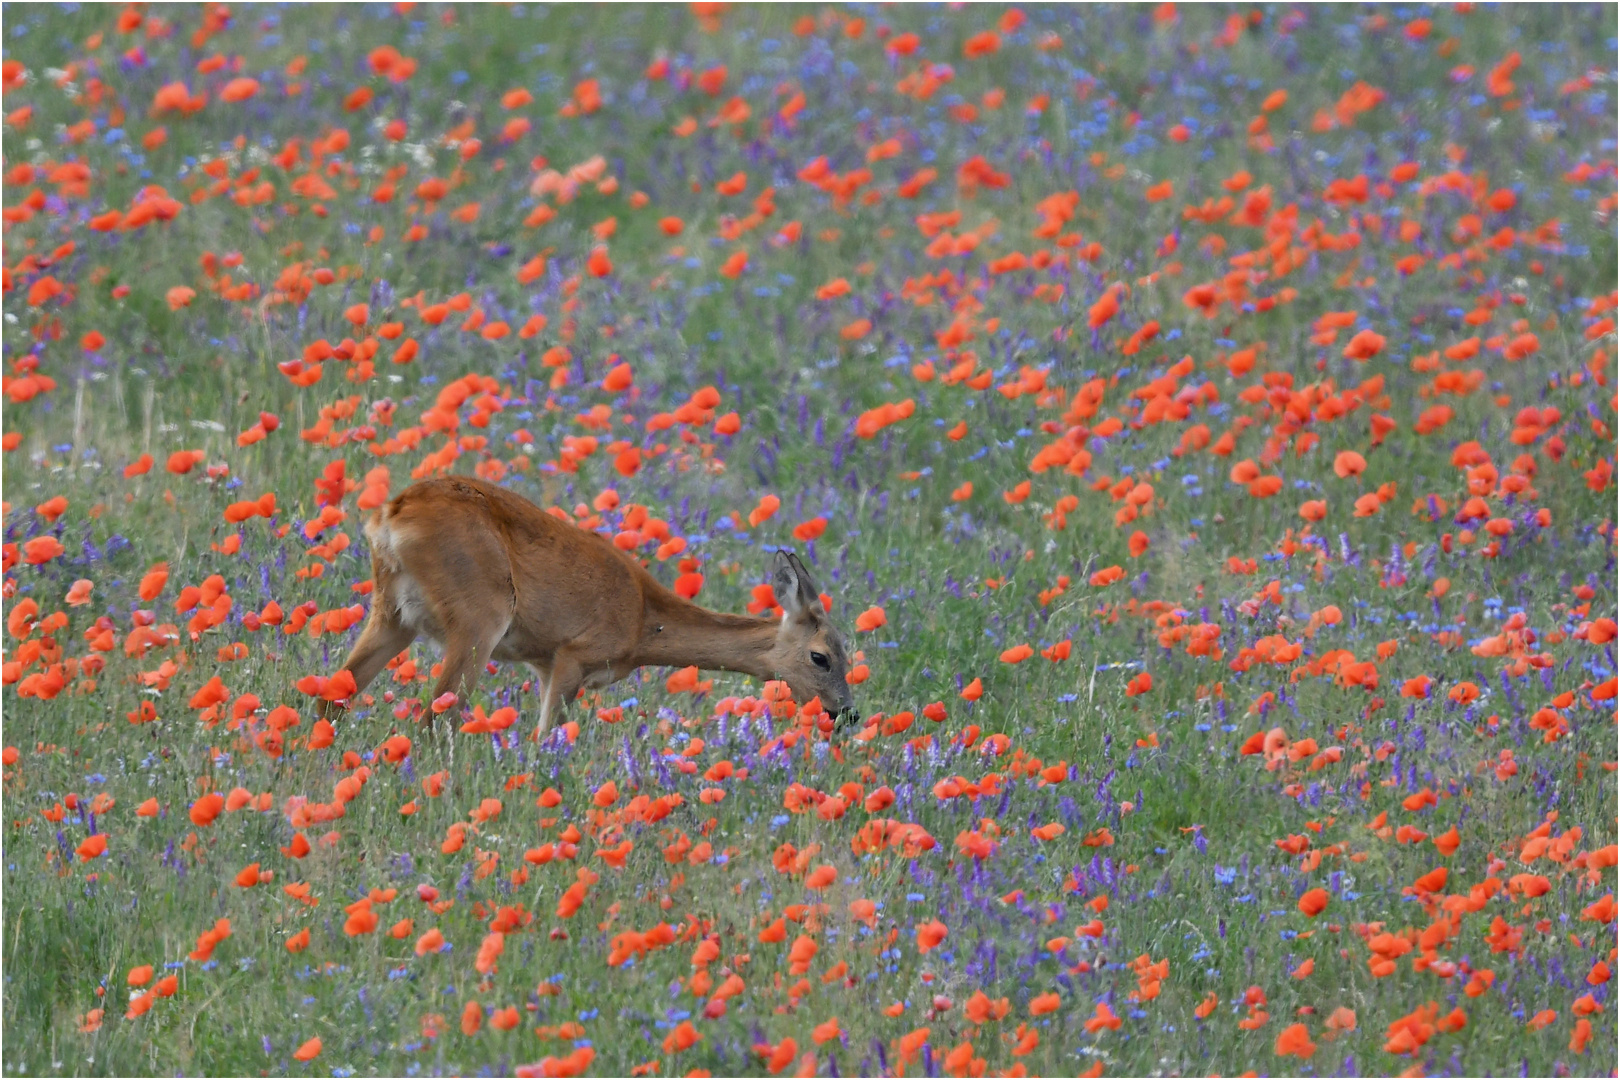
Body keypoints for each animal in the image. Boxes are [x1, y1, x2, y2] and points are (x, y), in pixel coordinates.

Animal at [309, 479, 855, 735]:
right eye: (821, 656)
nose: (846, 714)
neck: (644, 623)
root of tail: (392, 513)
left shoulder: (546, 664)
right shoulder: (572, 656)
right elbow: (544, 739)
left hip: (391, 614)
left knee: (332, 697)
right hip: (479, 618)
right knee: (431, 718)